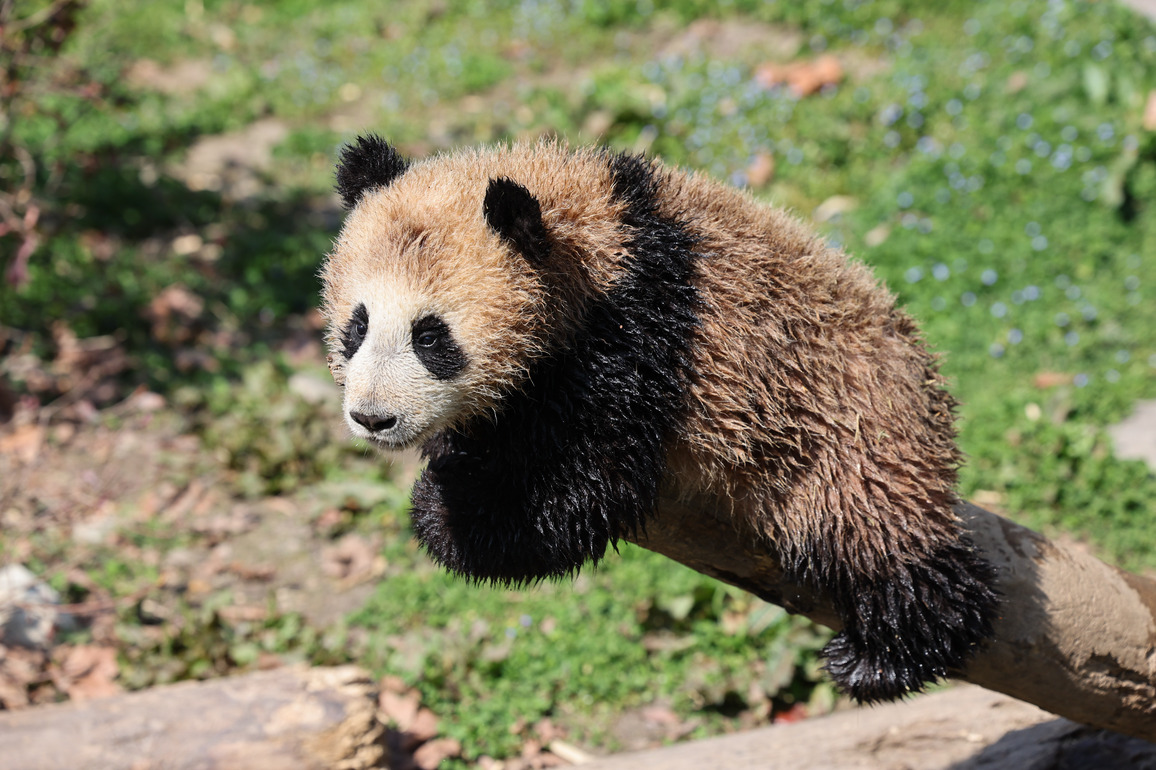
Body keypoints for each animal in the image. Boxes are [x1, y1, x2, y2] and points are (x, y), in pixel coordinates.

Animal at [320, 135, 999, 704]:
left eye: (431, 337)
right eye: (357, 326)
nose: (373, 418)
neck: (600, 225)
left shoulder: (643, 335)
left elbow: (590, 483)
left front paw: (446, 510)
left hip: (851, 427)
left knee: (879, 536)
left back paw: (882, 656)